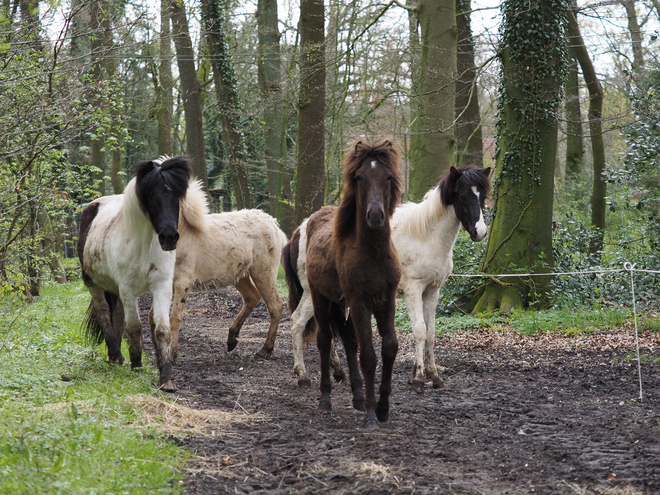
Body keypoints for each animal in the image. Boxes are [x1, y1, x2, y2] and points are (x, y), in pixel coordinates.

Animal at [284, 140, 402, 430]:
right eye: (358, 177)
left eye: (388, 177)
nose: (375, 215)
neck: (373, 254)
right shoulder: (360, 302)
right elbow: (368, 354)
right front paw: (372, 414)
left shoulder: (386, 300)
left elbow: (389, 347)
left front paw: (382, 407)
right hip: (320, 297)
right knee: (324, 339)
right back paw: (324, 396)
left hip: (340, 302)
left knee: (348, 338)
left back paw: (357, 395)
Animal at [286, 169, 492, 394]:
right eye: (463, 196)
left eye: (482, 197)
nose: (481, 232)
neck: (425, 235)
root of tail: (300, 230)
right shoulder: (413, 290)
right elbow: (419, 330)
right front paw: (418, 379)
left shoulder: (432, 291)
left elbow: (430, 333)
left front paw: (434, 376)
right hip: (312, 293)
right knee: (297, 323)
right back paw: (303, 375)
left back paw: (339, 372)